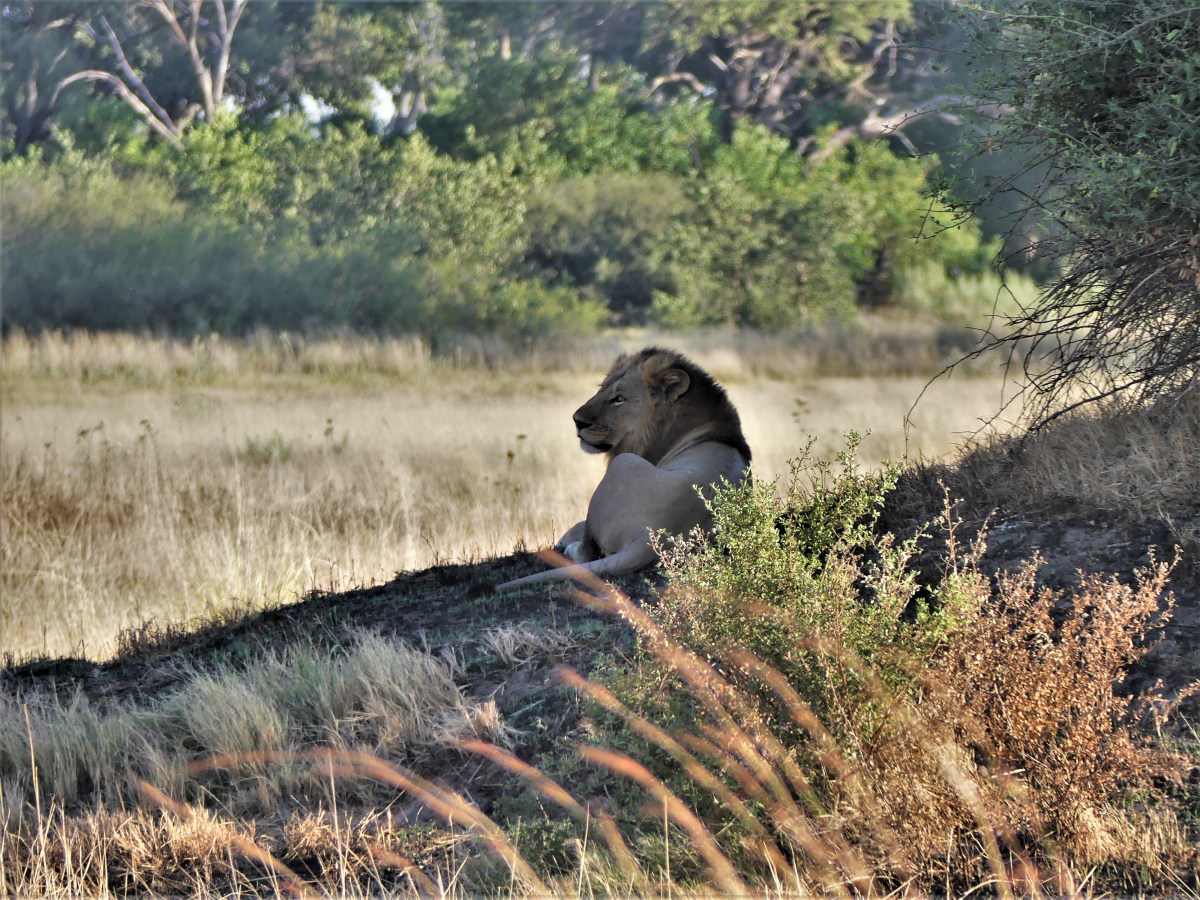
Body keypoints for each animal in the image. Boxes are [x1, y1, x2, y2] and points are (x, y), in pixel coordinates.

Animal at [495, 347, 751, 591]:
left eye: (618, 399)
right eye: (601, 389)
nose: (577, 421)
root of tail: (650, 538)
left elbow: (578, 526)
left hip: (624, 464)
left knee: (586, 551)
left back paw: (570, 547)